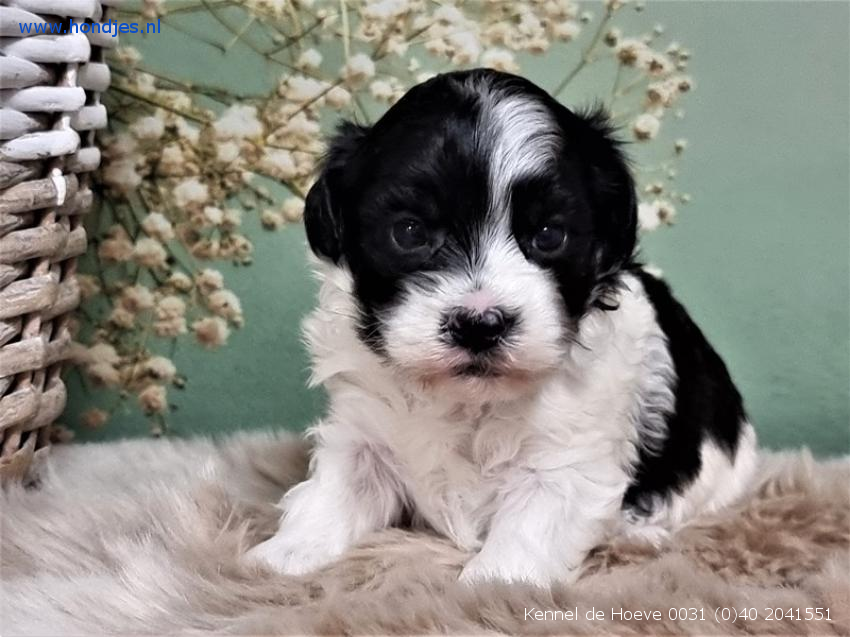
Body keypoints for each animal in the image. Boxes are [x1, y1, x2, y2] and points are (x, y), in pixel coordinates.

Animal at [247, 71, 756, 588]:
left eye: (549, 235)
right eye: (409, 232)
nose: (479, 324)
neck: (468, 400)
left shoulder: (566, 462)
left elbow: (524, 539)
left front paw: (490, 587)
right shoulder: (363, 430)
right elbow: (333, 493)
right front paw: (282, 557)